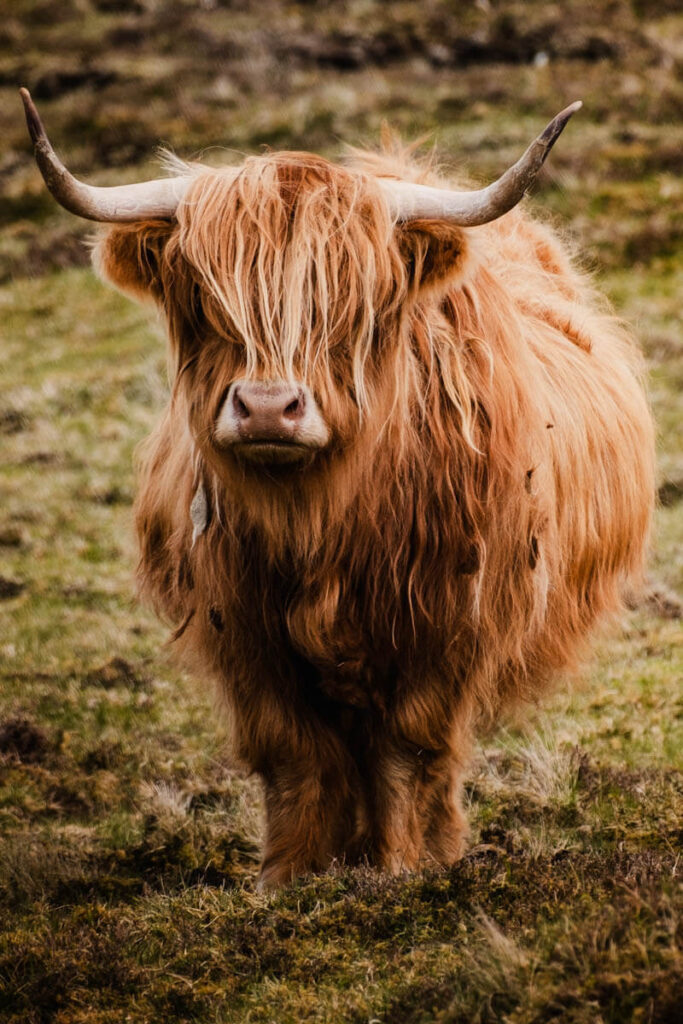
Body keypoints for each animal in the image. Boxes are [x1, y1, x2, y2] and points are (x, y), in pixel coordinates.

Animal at [18, 90, 655, 888]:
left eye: (349, 302)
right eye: (206, 297)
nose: (267, 408)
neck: (320, 524)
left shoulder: (447, 626)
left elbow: (407, 753)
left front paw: (399, 871)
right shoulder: (243, 633)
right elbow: (295, 757)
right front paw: (286, 878)